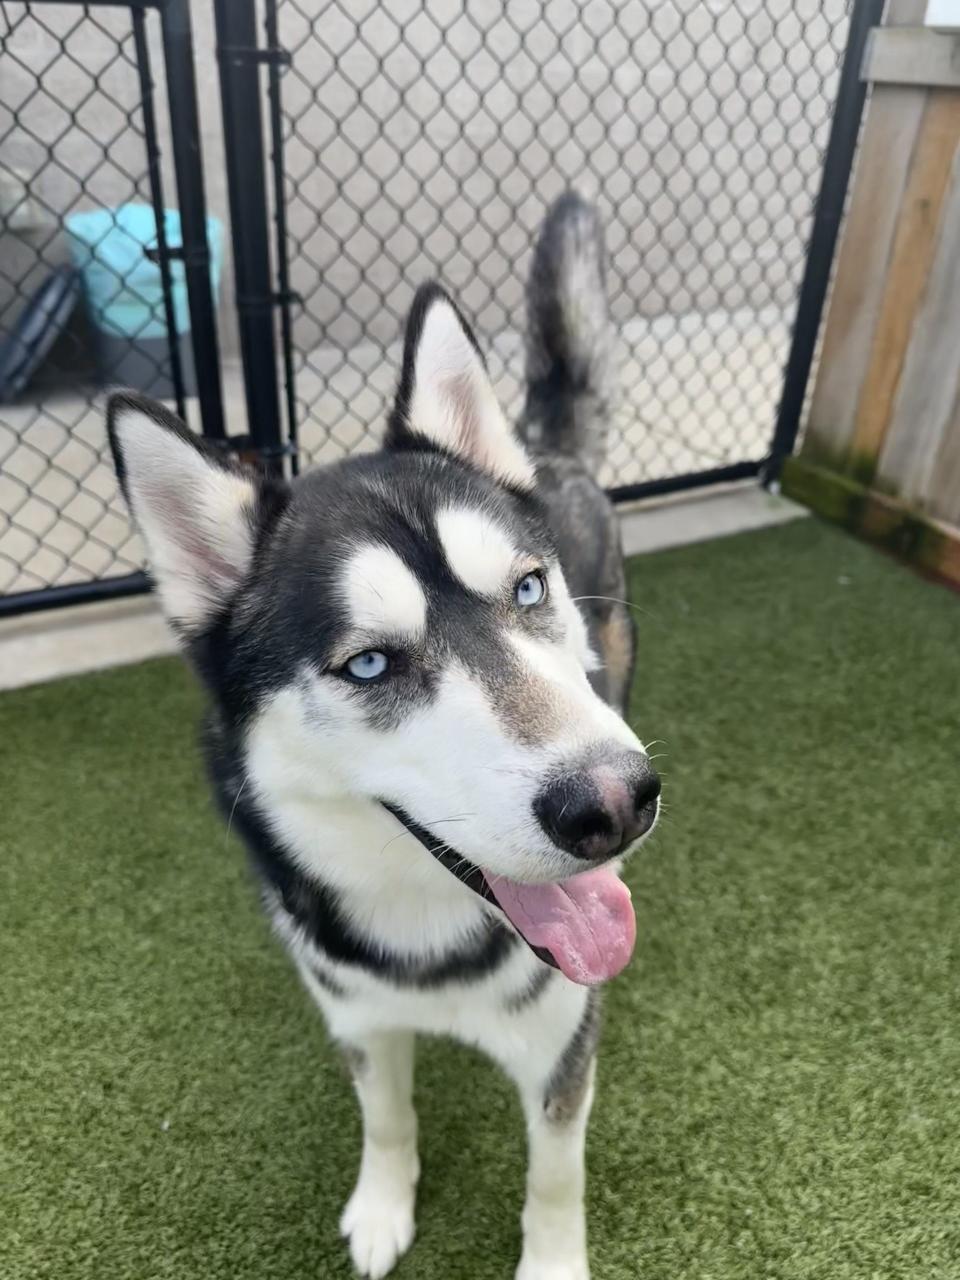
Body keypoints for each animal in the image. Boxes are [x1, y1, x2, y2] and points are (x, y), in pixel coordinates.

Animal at [106, 192, 660, 1280]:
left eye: (526, 589)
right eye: (369, 664)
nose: (617, 801)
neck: (427, 940)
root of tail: (545, 449)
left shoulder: (563, 1044)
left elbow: (555, 1179)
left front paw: (552, 1263)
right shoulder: (359, 1017)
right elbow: (387, 1117)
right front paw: (381, 1205)